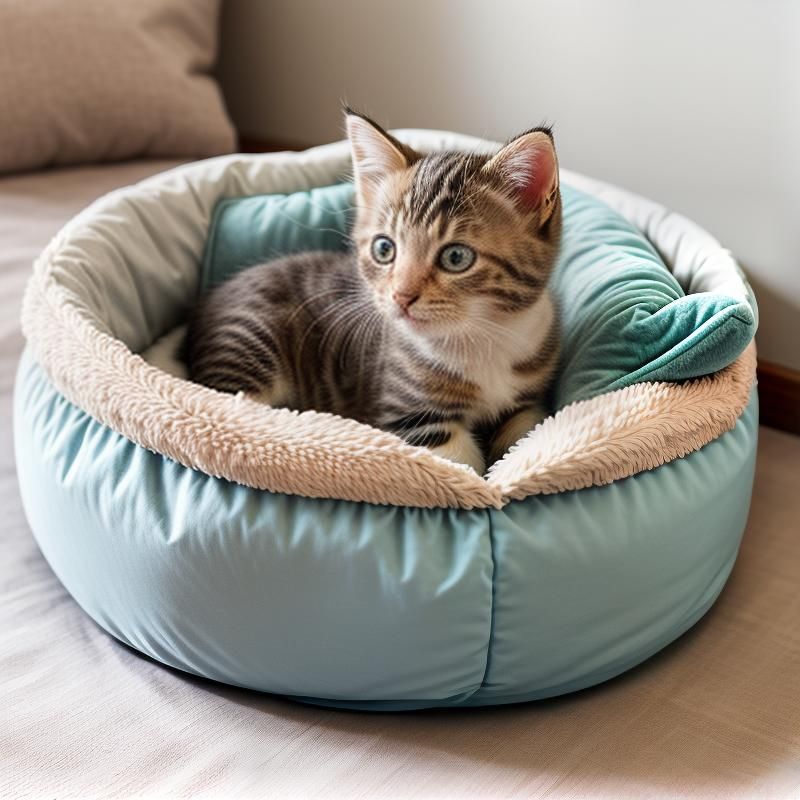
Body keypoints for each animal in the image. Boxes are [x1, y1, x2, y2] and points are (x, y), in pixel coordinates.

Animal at [185, 110, 562, 475]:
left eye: (456, 257)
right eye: (384, 249)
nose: (402, 296)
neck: (481, 336)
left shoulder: (528, 396)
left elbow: (529, 430)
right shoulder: (409, 409)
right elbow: (459, 464)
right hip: (245, 342)